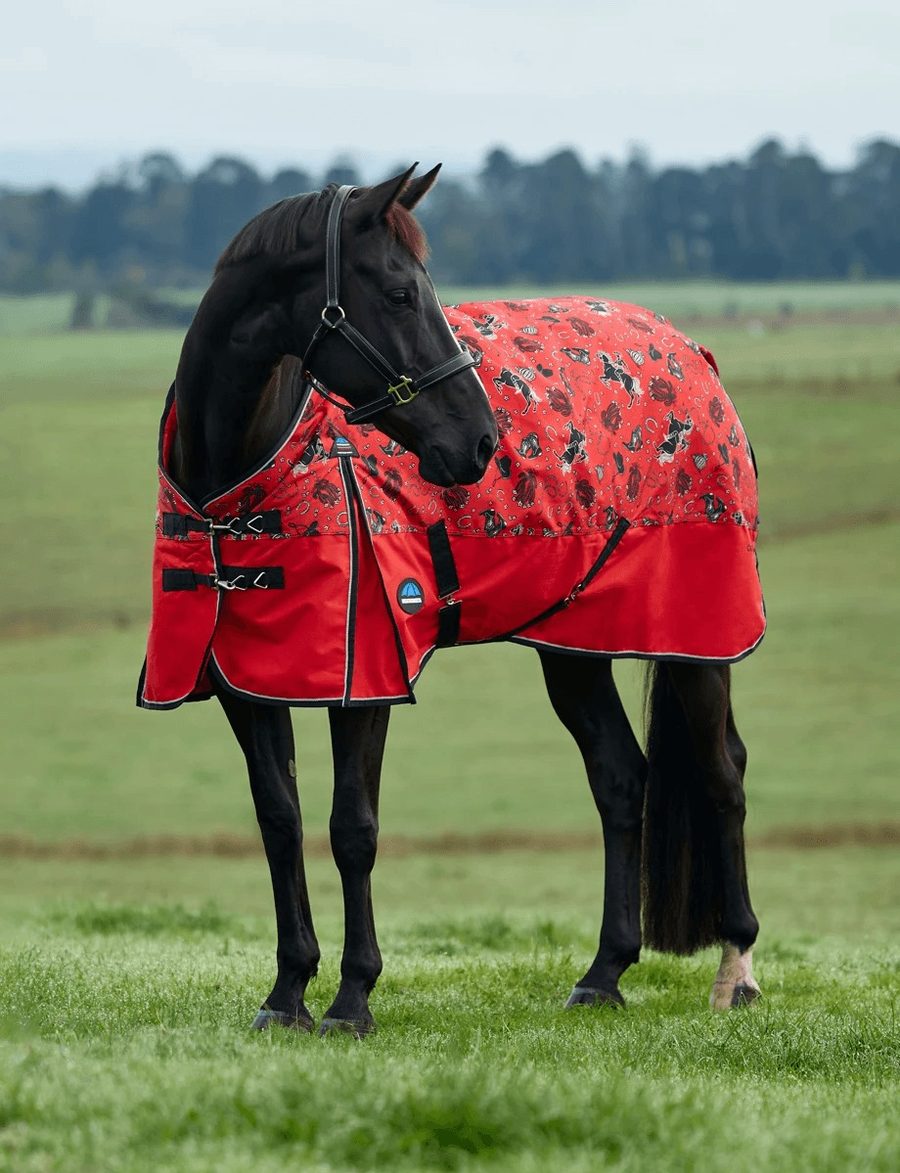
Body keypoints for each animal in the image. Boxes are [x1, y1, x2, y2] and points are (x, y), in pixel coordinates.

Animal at [139, 165, 763, 1036]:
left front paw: (353, 998)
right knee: (620, 777)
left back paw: (736, 970)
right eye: (401, 293)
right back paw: (602, 974)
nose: (480, 442)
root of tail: (692, 353)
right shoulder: (246, 680)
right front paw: (286, 994)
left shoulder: (364, 675)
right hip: (574, 646)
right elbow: (279, 820)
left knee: (722, 772)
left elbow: (352, 827)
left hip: (695, 635)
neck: (245, 475)